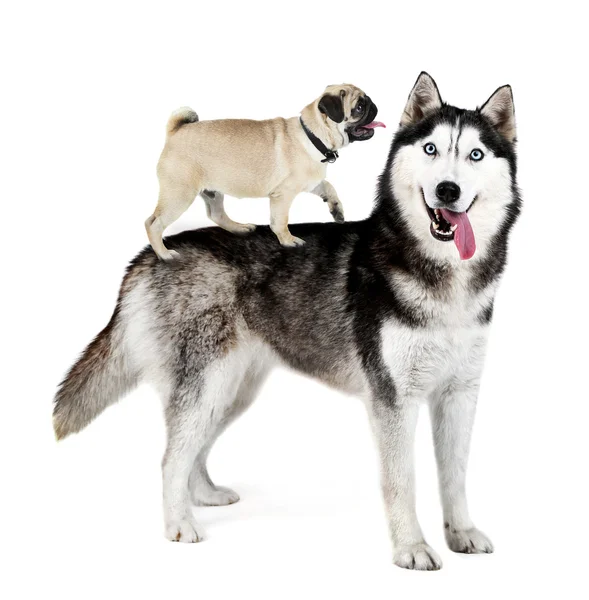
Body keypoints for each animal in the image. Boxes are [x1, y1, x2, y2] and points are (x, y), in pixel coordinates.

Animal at [146, 84, 386, 258]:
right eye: (359, 107)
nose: (375, 105)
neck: (312, 134)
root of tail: (176, 131)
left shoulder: (312, 182)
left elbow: (329, 187)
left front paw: (336, 209)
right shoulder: (283, 195)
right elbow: (280, 221)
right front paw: (288, 240)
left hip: (212, 192)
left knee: (216, 214)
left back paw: (239, 228)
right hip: (180, 195)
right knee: (153, 224)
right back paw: (164, 254)